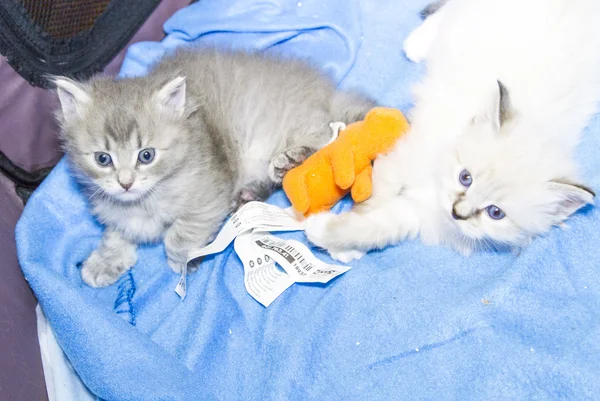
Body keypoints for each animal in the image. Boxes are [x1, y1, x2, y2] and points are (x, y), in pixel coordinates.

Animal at [56, 48, 376, 286]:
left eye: (146, 155)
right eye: (103, 159)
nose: (125, 183)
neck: (146, 199)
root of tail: (327, 91)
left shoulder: (207, 197)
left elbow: (178, 235)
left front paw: (185, 260)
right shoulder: (117, 212)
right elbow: (116, 233)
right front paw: (105, 262)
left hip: (288, 126)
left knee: (330, 135)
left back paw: (291, 160)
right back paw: (249, 195)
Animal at [308, 0, 600, 262]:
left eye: (496, 213)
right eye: (465, 178)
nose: (457, 212)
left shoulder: (422, 209)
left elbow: (379, 227)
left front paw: (334, 238)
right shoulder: (406, 155)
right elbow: (375, 198)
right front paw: (339, 236)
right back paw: (417, 43)